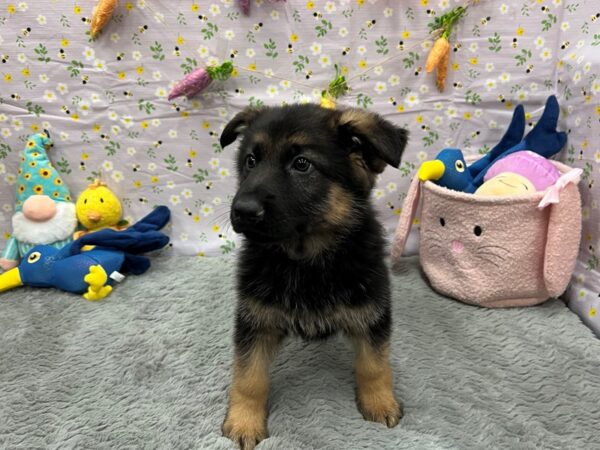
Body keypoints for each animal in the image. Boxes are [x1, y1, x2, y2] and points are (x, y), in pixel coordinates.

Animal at [220, 103, 408, 448]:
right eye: (251, 161)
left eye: (302, 164)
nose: (242, 211)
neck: (306, 260)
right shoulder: (255, 321)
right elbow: (249, 377)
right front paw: (243, 422)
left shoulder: (371, 314)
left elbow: (374, 366)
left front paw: (379, 403)